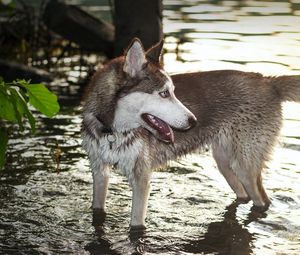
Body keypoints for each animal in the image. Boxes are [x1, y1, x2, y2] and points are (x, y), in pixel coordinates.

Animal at [82, 38, 300, 231]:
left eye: (173, 92)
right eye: (164, 93)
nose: (193, 121)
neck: (112, 131)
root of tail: (268, 81)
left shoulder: (141, 179)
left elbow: (136, 225)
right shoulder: (99, 171)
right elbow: (97, 209)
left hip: (244, 165)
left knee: (262, 200)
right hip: (225, 162)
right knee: (243, 194)